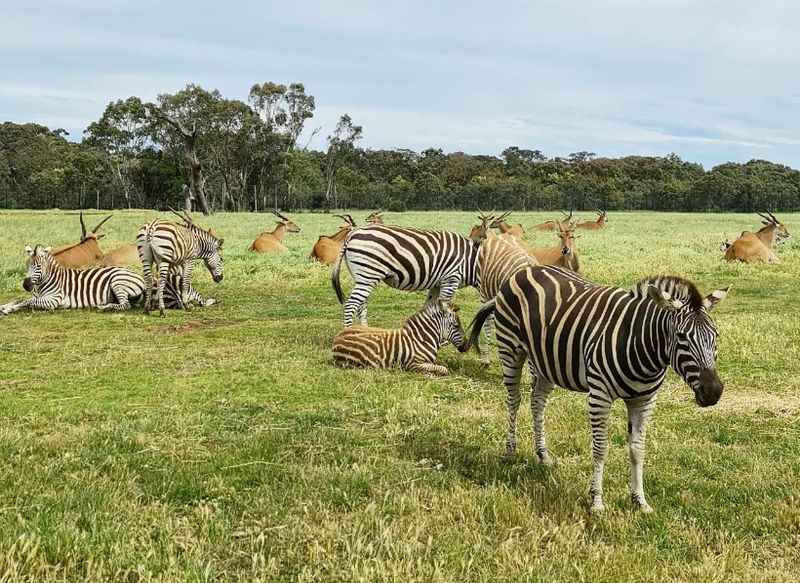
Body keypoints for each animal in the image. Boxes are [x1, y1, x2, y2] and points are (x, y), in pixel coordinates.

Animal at [330, 220, 488, 328]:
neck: (471, 262)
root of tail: (352, 234)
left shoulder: (438, 283)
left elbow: (429, 306)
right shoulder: (451, 279)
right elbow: (443, 307)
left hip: (363, 277)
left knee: (361, 305)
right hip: (368, 274)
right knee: (351, 305)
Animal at [332, 298, 468, 376]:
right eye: (456, 325)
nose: (466, 346)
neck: (422, 338)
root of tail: (338, 336)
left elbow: (440, 365)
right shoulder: (413, 364)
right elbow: (443, 369)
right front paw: (430, 374)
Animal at [466, 266, 728, 512]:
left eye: (715, 336)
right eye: (682, 337)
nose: (713, 391)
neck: (641, 344)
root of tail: (526, 269)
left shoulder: (644, 400)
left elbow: (638, 450)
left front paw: (640, 500)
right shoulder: (599, 396)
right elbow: (601, 449)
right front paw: (597, 501)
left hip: (546, 361)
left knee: (537, 401)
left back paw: (543, 454)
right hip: (510, 349)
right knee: (514, 399)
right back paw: (510, 451)